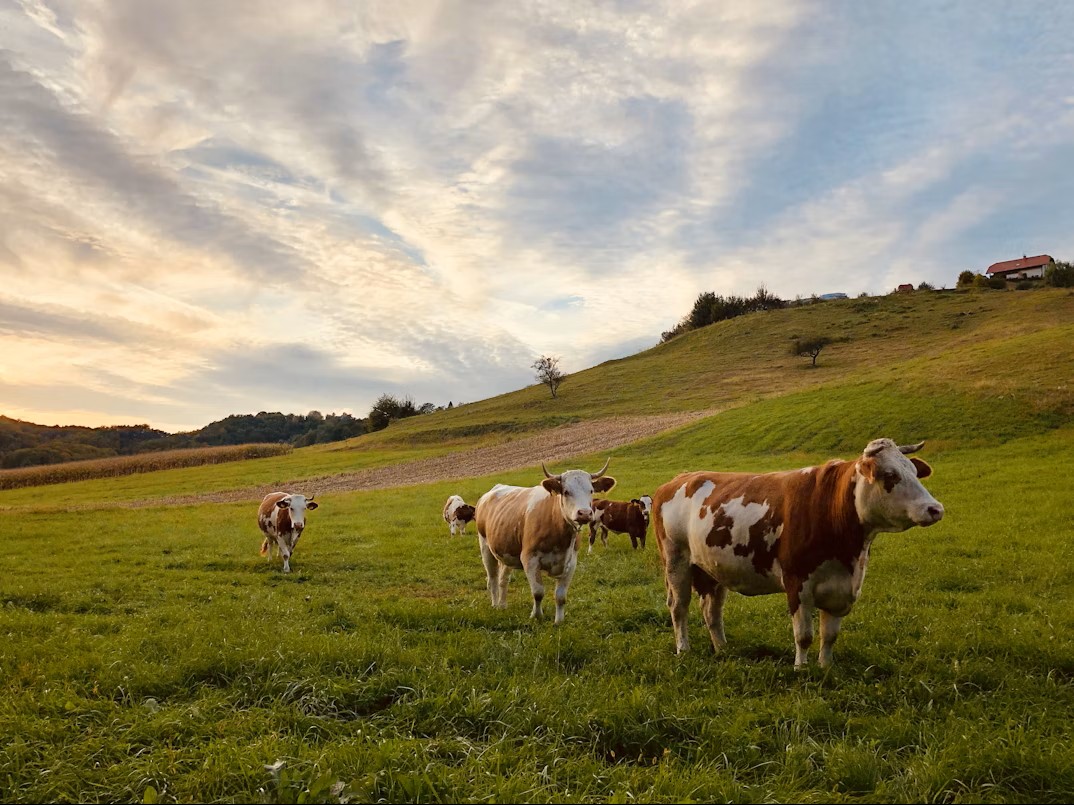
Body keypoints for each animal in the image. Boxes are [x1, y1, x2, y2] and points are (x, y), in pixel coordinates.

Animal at [474, 459, 616, 624]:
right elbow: (538, 592)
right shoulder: (529, 559)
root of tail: (492, 491)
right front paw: (536, 616)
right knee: (493, 579)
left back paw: (503, 605)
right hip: (485, 547)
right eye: (566, 492)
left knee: (503, 579)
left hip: (505, 551)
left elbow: (561, 596)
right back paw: (495, 605)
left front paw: (559, 621)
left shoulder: (571, 563)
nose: (585, 513)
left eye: (591, 491)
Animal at [652, 439, 944, 668]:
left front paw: (825, 668)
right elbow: (804, 635)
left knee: (711, 611)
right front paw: (801, 669)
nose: (935, 509)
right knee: (679, 607)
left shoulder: (843, 589)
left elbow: (829, 636)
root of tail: (678, 479)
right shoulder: (797, 583)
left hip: (712, 568)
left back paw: (723, 649)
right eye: (891, 475)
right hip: (676, 561)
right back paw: (683, 649)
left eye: (914, 472)